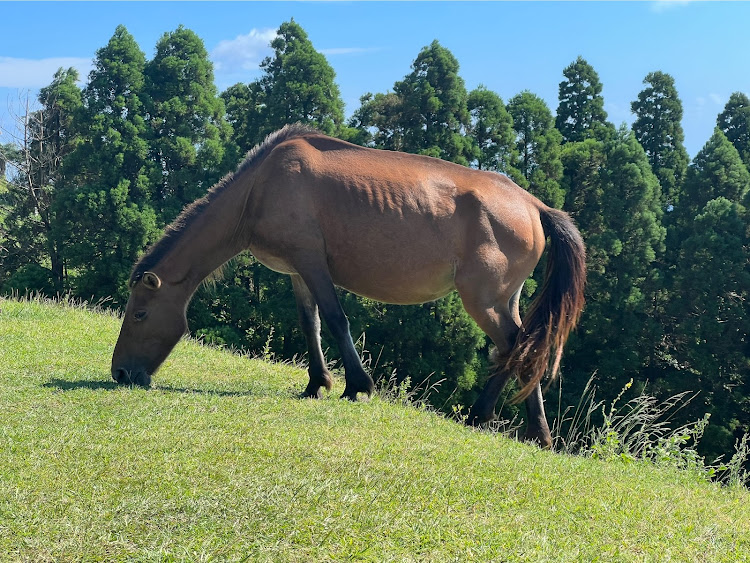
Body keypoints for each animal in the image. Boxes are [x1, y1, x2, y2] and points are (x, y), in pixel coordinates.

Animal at [111, 124, 588, 450]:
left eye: (139, 313)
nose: (120, 373)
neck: (260, 188)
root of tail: (532, 204)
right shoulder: (297, 272)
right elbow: (312, 326)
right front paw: (316, 383)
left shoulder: (311, 262)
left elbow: (336, 320)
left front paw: (356, 384)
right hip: (505, 300)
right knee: (521, 349)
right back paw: (532, 430)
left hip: (483, 300)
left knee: (515, 348)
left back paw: (490, 418)